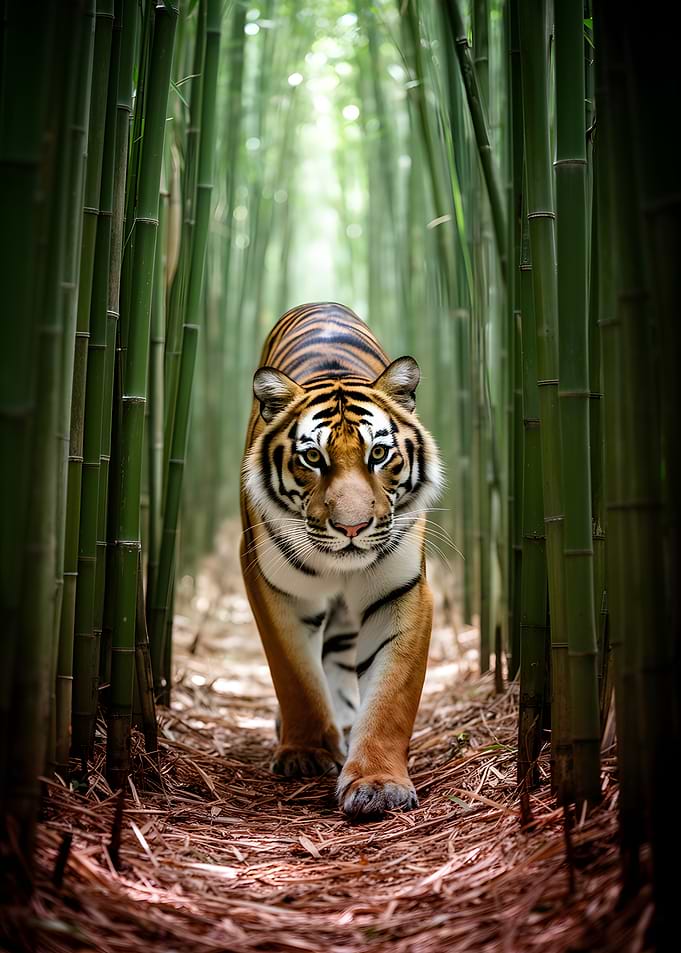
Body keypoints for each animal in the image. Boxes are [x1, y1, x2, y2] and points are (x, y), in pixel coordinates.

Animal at [240, 302, 443, 821]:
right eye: (312, 458)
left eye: (380, 454)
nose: (352, 528)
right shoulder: (275, 589)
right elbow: (296, 676)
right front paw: (307, 753)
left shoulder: (401, 593)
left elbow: (390, 698)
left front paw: (377, 783)